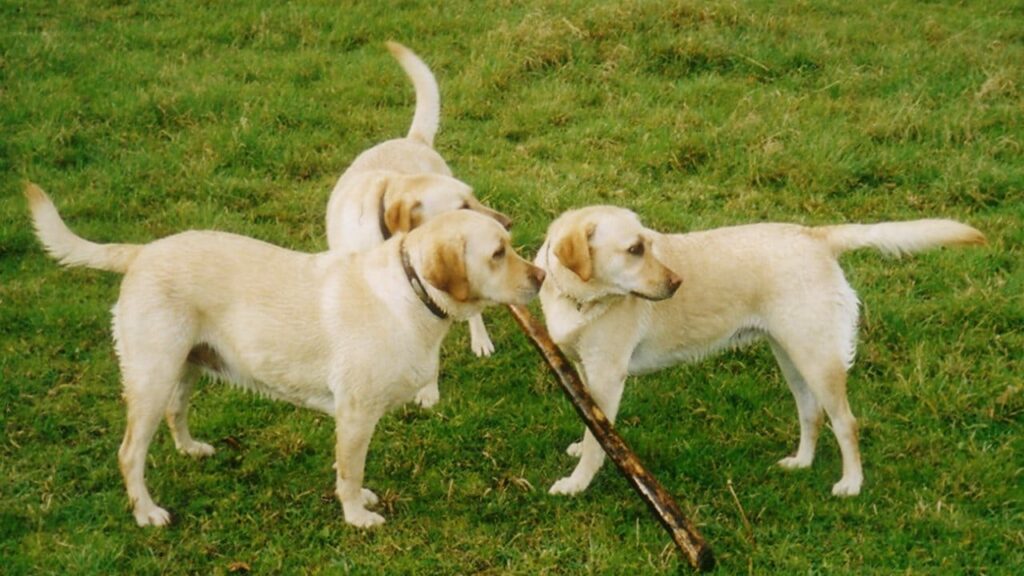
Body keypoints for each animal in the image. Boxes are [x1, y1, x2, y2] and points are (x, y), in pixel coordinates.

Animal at [536, 203, 983, 496]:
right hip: (791, 357)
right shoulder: (587, 373)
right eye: (634, 250)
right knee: (811, 414)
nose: (678, 283)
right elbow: (591, 425)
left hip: (818, 358)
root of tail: (816, 235)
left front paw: (576, 483)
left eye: (648, 244)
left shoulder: (609, 376)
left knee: (846, 422)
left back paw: (851, 484)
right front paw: (582, 449)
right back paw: (801, 463)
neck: (577, 295)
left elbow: (599, 438)